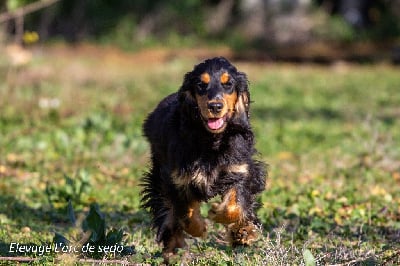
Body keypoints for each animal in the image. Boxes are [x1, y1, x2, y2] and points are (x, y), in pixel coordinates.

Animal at [141, 56, 266, 258]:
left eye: (228, 84)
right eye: (201, 85)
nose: (215, 106)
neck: (211, 140)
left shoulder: (240, 171)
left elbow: (235, 204)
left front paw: (218, 214)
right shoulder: (177, 179)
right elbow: (185, 212)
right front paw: (199, 228)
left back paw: (243, 232)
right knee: (168, 214)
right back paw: (173, 249)